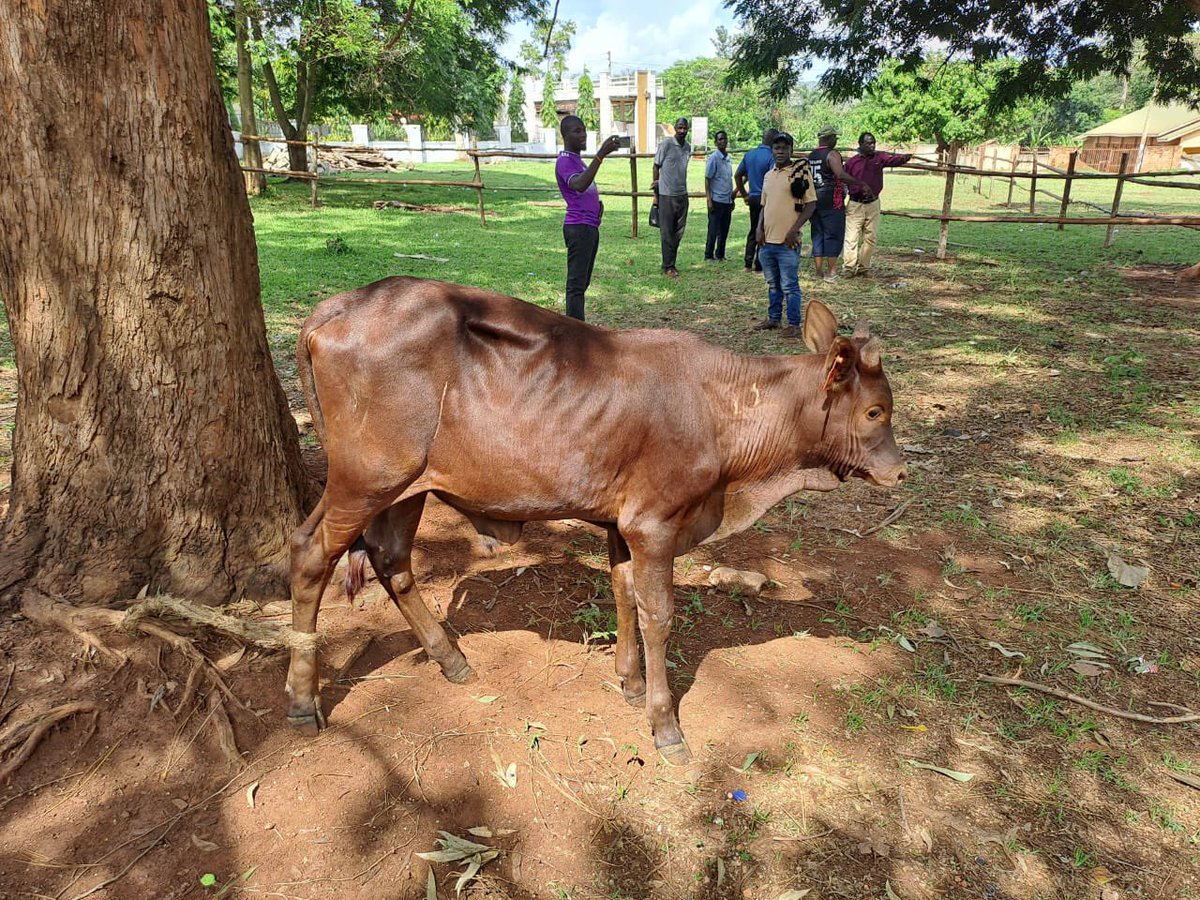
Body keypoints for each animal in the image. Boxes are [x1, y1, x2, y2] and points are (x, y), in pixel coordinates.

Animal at [286, 277, 905, 764]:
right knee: (311, 555)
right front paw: (665, 726)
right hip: (365, 479)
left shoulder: (621, 524)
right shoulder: (654, 524)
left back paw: (451, 658)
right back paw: (300, 700)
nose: (899, 471)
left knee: (391, 559)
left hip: (408, 486)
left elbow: (623, 593)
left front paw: (629, 682)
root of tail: (338, 305)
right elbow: (659, 615)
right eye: (875, 412)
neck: (725, 410)